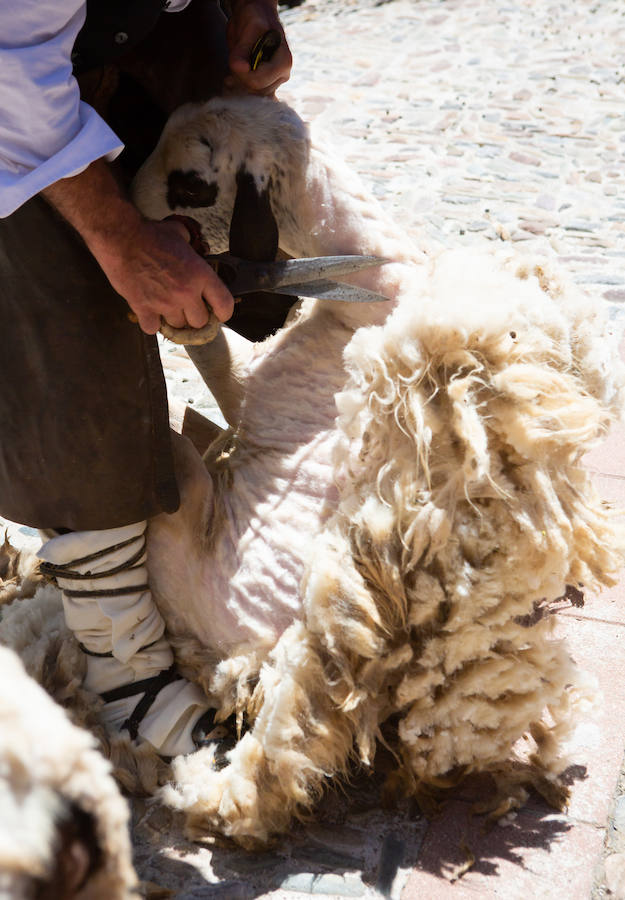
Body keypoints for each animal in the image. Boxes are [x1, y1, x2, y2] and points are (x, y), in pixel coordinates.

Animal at [2, 98, 620, 852]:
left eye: (191, 183)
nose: (130, 210)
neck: (381, 266)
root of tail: (236, 659)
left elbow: (214, 360)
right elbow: (219, 367)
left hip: (184, 512)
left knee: (157, 468)